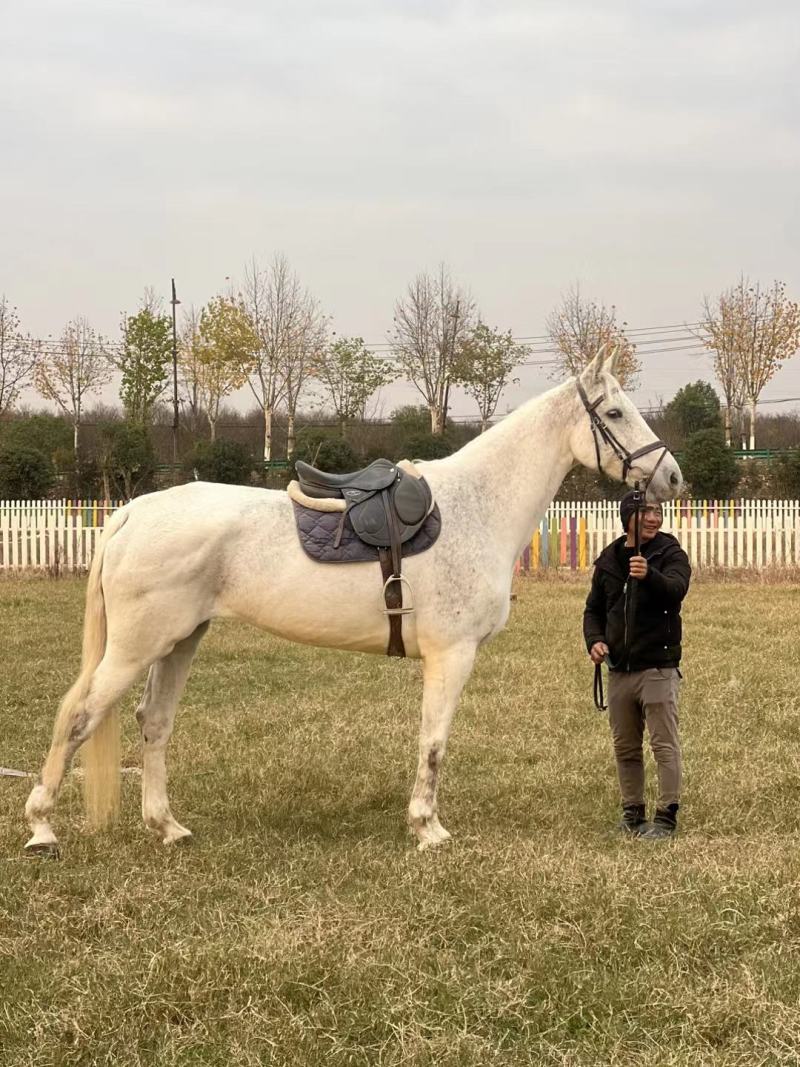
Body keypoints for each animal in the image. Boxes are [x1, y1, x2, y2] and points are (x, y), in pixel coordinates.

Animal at [24, 348, 682, 856]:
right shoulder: (452, 655)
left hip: (180, 641)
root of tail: (133, 512)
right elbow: (434, 741)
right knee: (79, 716)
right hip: (135, 648)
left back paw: (167, 827)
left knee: (153, 722)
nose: (672, 476)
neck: (478, 505)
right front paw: (428, 829)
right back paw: (41, 828)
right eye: (615, 412)